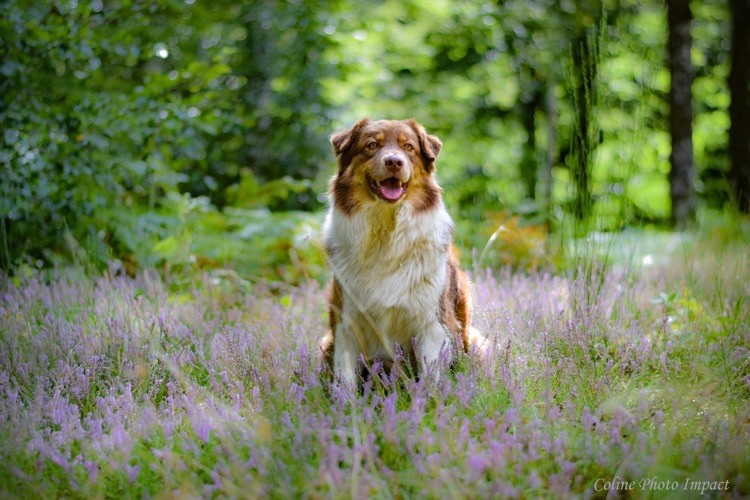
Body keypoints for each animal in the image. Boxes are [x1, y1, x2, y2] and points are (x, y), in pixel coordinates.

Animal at [318, 116, 482, 386]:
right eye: (372, 145)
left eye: (409, 147)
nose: (394, 161)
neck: (385, 231)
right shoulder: (346, 322)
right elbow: (346, 379)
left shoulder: (432, 323)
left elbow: (431, 376)